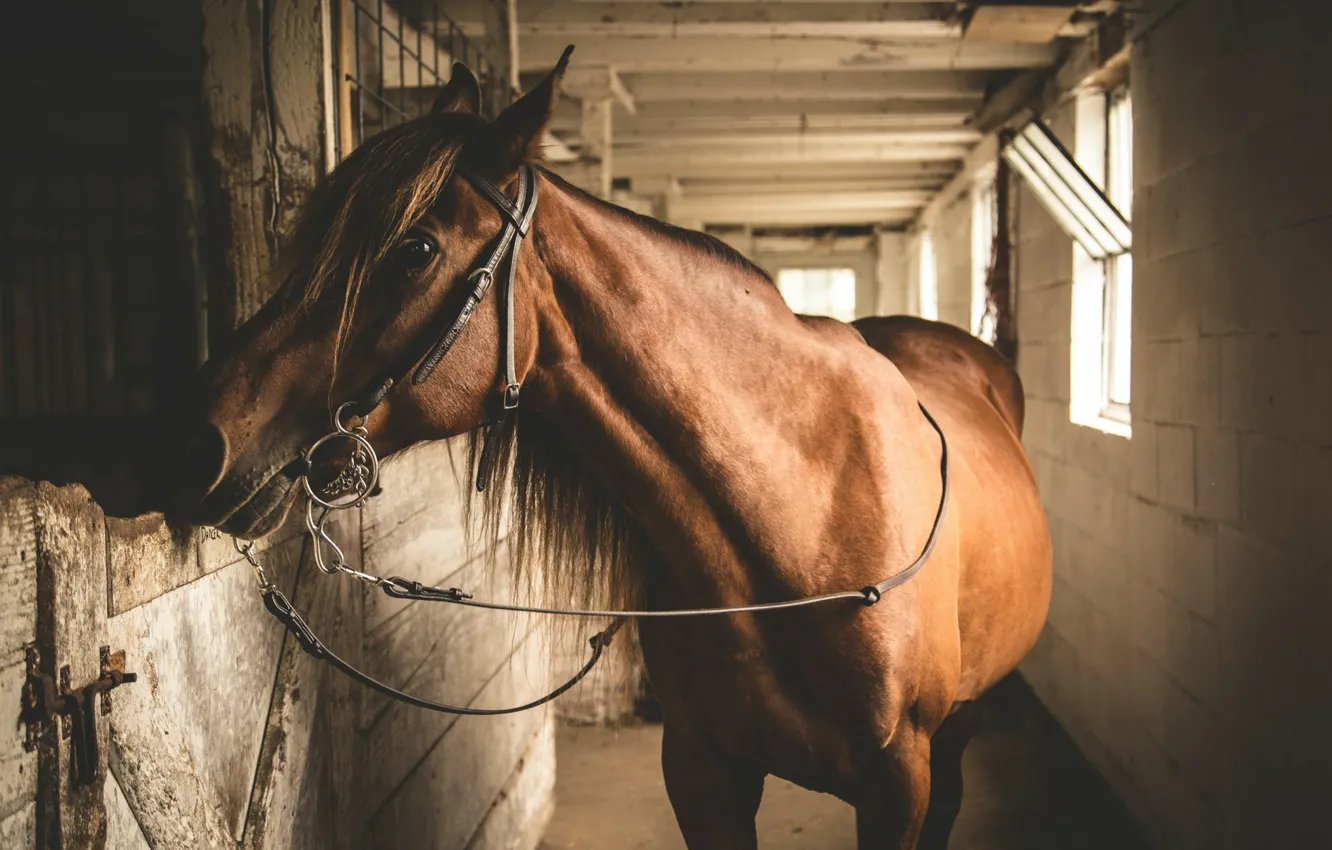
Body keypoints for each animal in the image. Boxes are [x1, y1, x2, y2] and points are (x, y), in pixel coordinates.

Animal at [168, 51, 1052, 850]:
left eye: (414, 248)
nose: (192, 438)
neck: (798, 527)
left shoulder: (898, 783)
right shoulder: (702, 774)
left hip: (959, 730)